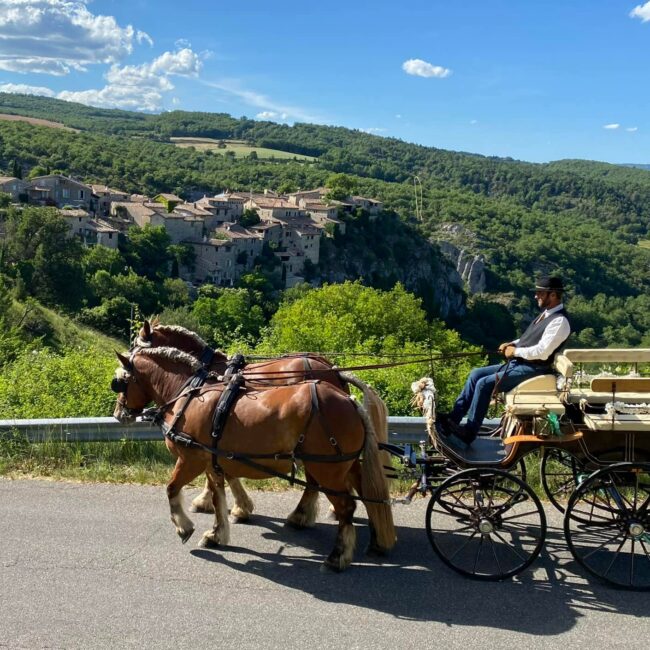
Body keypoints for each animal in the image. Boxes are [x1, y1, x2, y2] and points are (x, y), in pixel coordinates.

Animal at [111, 346, 394, 568]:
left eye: (121, 381)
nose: (119, 414)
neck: (190, 395)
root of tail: (349, 400)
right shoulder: (213, 460)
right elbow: (218, 495)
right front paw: (218, 532)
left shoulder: (191, 459)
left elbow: (171, 489)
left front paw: (184, 527)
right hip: (344, 465)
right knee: (368, 495)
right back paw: (377, 540)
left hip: (327, 469)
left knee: (346, 506)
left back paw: (337, 555)